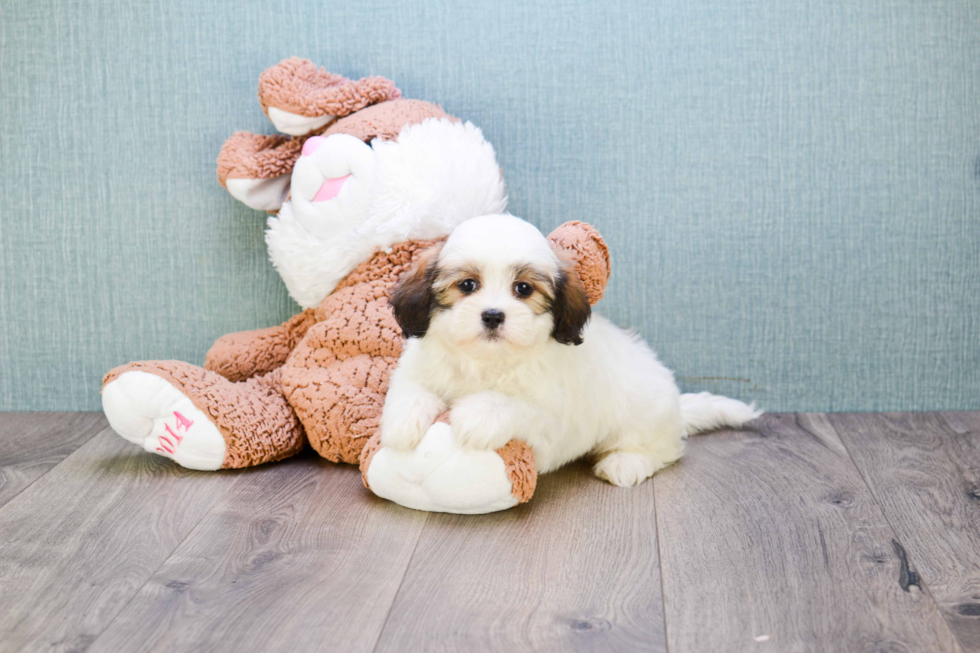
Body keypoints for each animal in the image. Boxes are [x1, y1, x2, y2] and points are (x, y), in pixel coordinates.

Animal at [378, 214, 760, 484]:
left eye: (523, 289)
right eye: (467, 285)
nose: (493, 315)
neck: (487, 360)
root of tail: (677, 404)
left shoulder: (549, 417)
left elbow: (515, 405)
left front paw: (479, 414)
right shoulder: (418, 365)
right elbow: (410, 388)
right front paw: (402, 422)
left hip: (643, 415)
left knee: (662, 448)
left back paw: (626, 462)